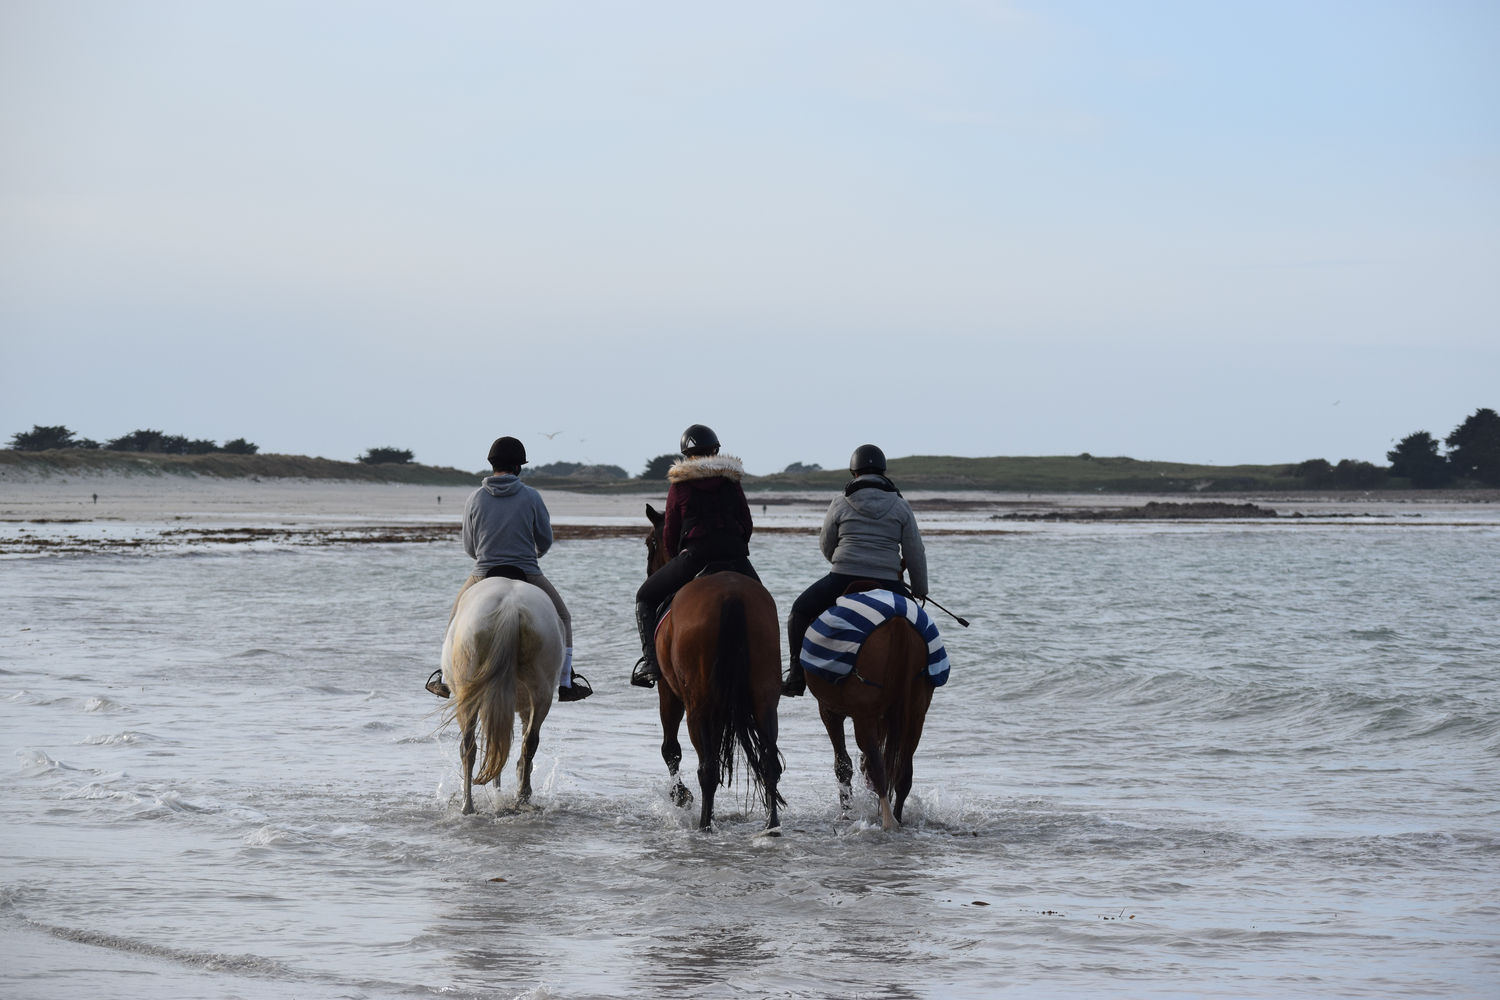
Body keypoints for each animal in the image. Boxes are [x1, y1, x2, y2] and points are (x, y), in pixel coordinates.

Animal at [444, 578, 567, 815]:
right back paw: (521, 797)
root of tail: (510, 607)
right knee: (529, 742)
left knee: (469, 747)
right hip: (541, 692)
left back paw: (468, 805)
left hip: (468, 696)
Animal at [645, 503, 786, 833]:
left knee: (707, 767)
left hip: (698, 704)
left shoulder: (667, 690)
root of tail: (730, 595)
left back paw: (704, 825)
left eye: (650, 544)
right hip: (763, 697)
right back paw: (771, 825)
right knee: (769, 761)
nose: (649, 570)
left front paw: (680, 796)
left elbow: (670, 748)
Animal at [804, 590, 930, 833]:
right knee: (902, 772)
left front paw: (847, 811)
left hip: (864, 717)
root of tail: (898, 624)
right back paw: (897, 816)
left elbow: (843, 764)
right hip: (916, 714)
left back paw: (888, 820)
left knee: (878, 765)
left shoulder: (829, 710)